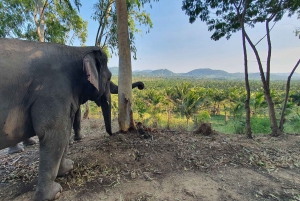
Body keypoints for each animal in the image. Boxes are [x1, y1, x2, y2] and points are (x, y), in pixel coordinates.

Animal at [0, 38, 139, 200]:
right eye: (109, 77)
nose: (113, 134)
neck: (76, 50)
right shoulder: (53, 90)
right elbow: (54, 133)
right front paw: (54, 193)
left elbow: (64, 133)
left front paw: (68, 167)